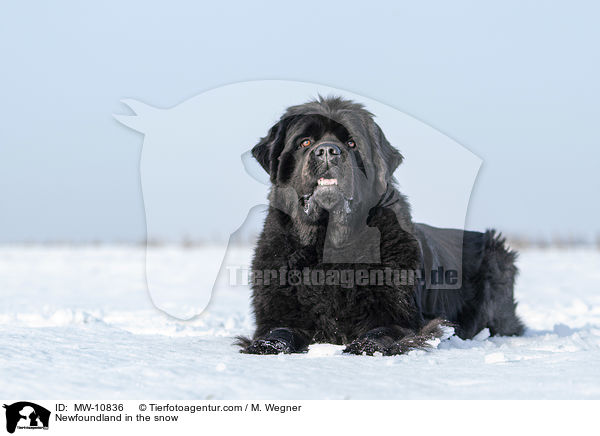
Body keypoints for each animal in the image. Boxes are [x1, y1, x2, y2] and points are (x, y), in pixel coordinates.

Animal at [237, 97, 524, 356]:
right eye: (305, 142)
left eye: (351, 143)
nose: (328, 151)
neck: (328, 241)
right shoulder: (279, 309)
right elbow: (279, 330)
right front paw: (266, 346)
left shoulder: (397, 314)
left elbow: (383, 330)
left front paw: (367, 347)